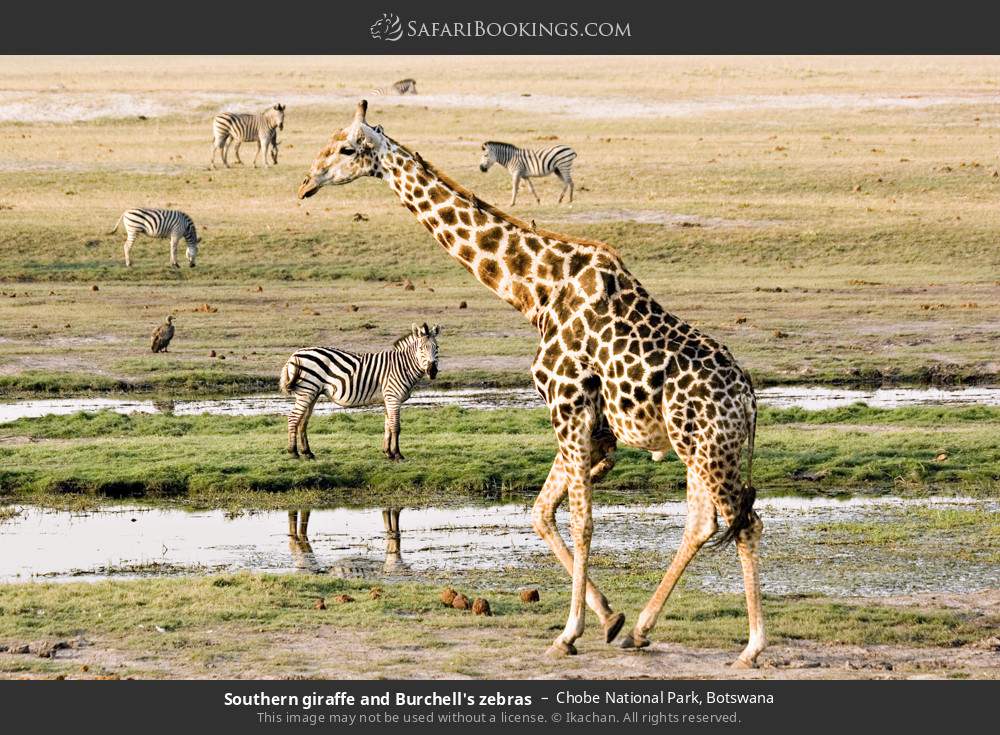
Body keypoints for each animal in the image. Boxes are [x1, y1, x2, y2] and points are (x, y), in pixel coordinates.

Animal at [279, 323, 440, 461]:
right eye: (421, 348)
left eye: (436, 347)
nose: (432, 371)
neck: (402, 366)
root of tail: (294, 355)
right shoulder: (393, 398)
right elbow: (395, 427)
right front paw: (398, 454)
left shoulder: (387, 399)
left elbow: (387, 425)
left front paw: (387, 452)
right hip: (307, 391)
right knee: (293, 418)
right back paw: (293, 452)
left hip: (312, 393)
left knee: (303, 421)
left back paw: (307, 452)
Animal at [297, 101, 766, 667]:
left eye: (345, 148)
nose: (306, 182)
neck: (535, 292)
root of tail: (749, 398)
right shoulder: (587, 426)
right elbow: (542, 513)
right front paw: (609, 620)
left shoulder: (569, 406)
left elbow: (580, 522)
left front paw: (569, 633)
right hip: (693, 447)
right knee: (703, 523)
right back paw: (641, 630)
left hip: (711, 448)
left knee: (745, 523)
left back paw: (752, 648)